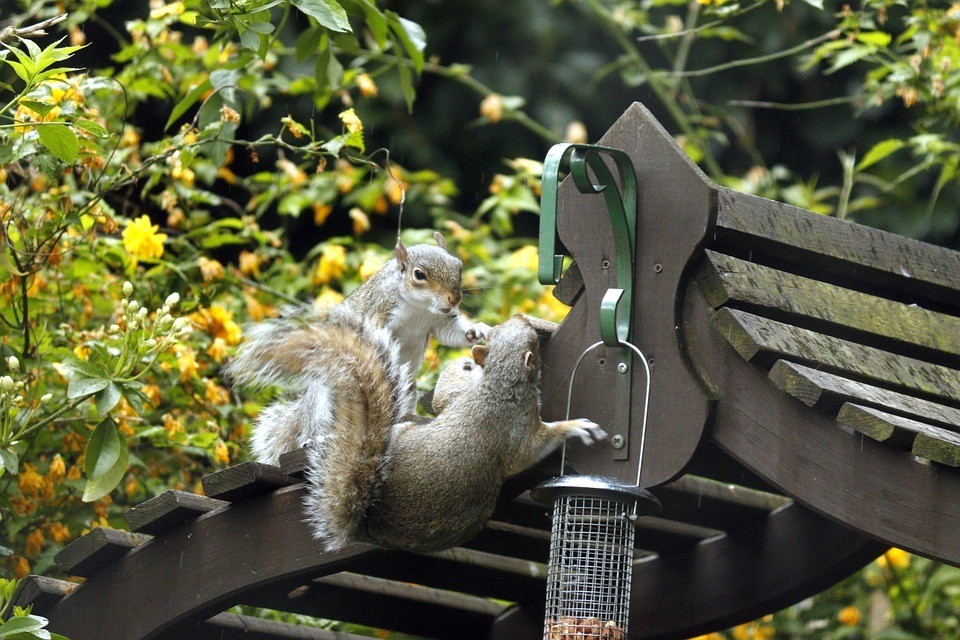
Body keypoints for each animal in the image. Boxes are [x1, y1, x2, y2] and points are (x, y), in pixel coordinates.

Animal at [225, 232, 488, 462]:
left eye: (458, 266)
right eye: (419, 274)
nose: (454, 298)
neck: (418, 308)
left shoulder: (439, 321)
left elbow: (450, 333)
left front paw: (476, 331)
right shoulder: (378, 312)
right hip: (325, 398)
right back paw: (315, 438)